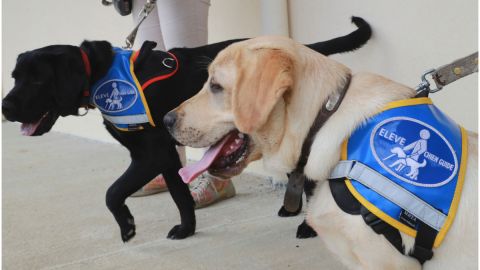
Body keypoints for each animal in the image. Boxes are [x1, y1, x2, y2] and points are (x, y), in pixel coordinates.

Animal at [0, 16, 372, 242]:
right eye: (15, 77)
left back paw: (306, 225)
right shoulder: (166, 155)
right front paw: (187, 228)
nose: (5, 108)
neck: (101, 73)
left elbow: (112, 192)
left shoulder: (150, 155)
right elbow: (179, 194)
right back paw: (289, 207)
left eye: (36, 80)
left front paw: (127, 226)